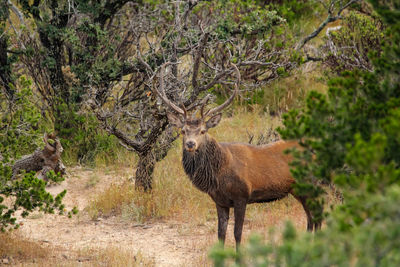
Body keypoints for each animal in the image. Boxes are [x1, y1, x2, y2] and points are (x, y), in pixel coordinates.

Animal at [155, 64, 320, 249]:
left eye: (203, 131)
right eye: (183, 131)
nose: (190, 144)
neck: (219, 174)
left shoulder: (242, 196)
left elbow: (237, 233)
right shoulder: (220, 201)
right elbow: (220, 233)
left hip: (310, 184)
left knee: (317, 214)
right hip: (298, 189)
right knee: (311, 216)